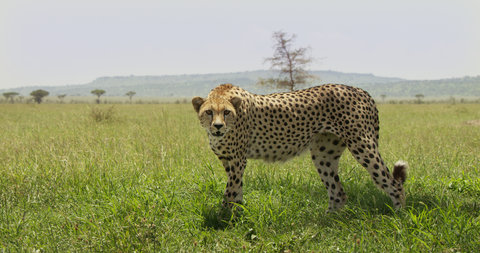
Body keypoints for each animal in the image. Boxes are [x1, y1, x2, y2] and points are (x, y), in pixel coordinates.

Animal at [191, 83, 404, 211]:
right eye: (209, 112)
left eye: (226, 112)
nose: (218, 126)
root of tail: (360, 90)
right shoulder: (228, 160)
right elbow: (236, 187)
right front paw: (236, 211)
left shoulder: (237, 160)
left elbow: (231, 189)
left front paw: (225, 216)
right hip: (323, 154)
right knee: (338, 192)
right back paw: (328, 221)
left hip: (362, 144)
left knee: (393, 183)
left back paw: (398, 216)